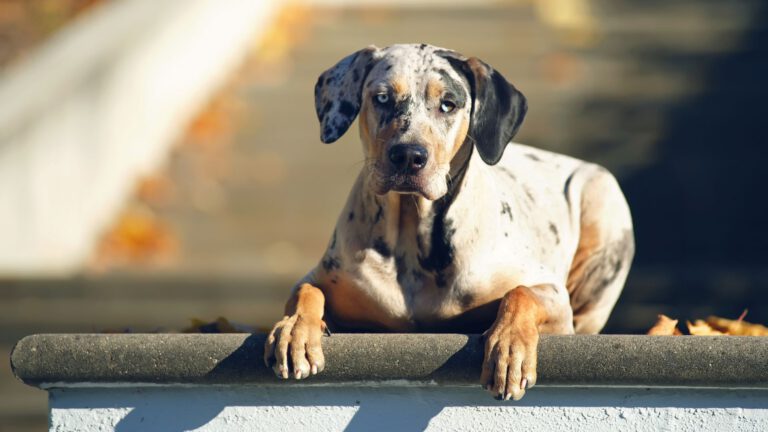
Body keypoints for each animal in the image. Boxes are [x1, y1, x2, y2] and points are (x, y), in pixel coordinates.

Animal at [264, 42, 636, 400]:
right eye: (382, 97)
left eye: (448, 104)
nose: (408, 155)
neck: (411, 234)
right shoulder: (326, 278)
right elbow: (306, 291)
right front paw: (295, 330)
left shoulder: (555, 300)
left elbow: (520, 293)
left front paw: (509, 349)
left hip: (603, 195)